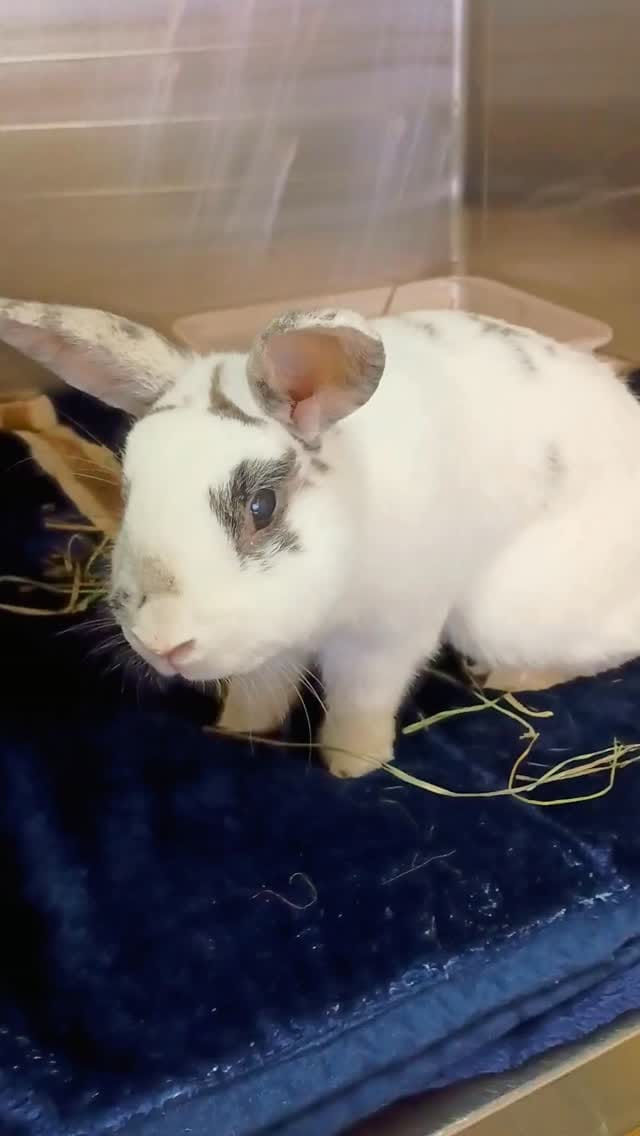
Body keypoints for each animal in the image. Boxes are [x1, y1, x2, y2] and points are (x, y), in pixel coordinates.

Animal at [2, 298, 640, 778]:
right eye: (128, 487)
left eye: (262, 506)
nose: (161, 642)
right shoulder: (269, 654)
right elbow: (258, 692)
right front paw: (232, 731)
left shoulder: (385, 641)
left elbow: (361, 704)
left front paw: (353, 767)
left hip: (503, 616)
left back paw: (509, 679)